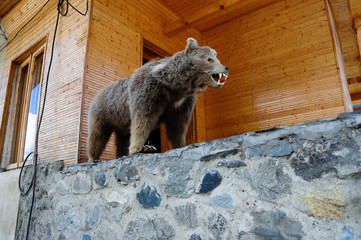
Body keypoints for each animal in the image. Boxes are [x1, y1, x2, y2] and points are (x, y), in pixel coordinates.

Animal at [87, 37, 228, 162]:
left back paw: (121, 154)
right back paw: (94, 158)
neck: (175, 87)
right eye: (209, 59)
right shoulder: (147, 92)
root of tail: (99, 92)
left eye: (217, 58)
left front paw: (181, 144)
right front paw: (142, 147)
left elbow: (178, 125)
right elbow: (143, 118)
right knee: (97, 135)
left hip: (121, 120)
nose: (226, 68)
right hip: (104, 111)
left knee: (122, 137)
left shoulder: (183, 103)